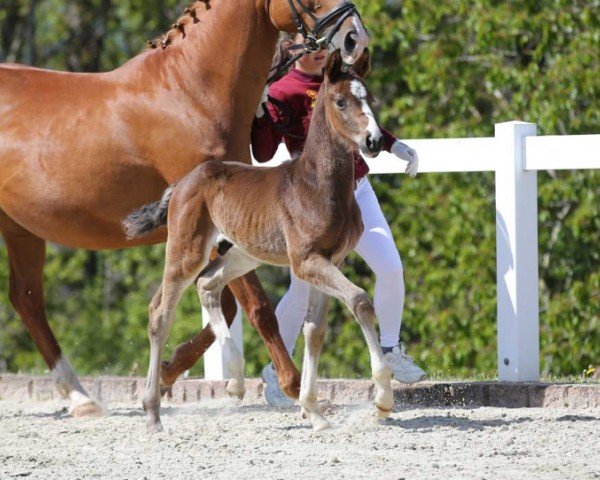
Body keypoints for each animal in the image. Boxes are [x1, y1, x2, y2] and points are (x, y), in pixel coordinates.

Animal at [0, 0, 368, 414]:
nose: (355, 37)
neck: (191, 92)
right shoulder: (217, 229)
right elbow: (257, 306)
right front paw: (288, 384)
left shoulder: (226, 232)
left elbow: (224, 306)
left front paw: (169, 374)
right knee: (28, 300)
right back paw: (82, 398)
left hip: (20, 229)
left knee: (26, 300)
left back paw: (81, 397)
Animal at [123, 50, 394, 434]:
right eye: (341, 101)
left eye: (369, 99)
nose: (374, 141)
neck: (318, 187)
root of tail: (182, 183)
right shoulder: (308, 261)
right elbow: (359, 301)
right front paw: (383, 398)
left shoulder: (331, 260)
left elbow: (315, 330)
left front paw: (313, 411)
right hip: (187, 251)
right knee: (161, 314)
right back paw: (153, 413)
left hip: (242, 254)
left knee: (207, 284)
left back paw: (235, 377)